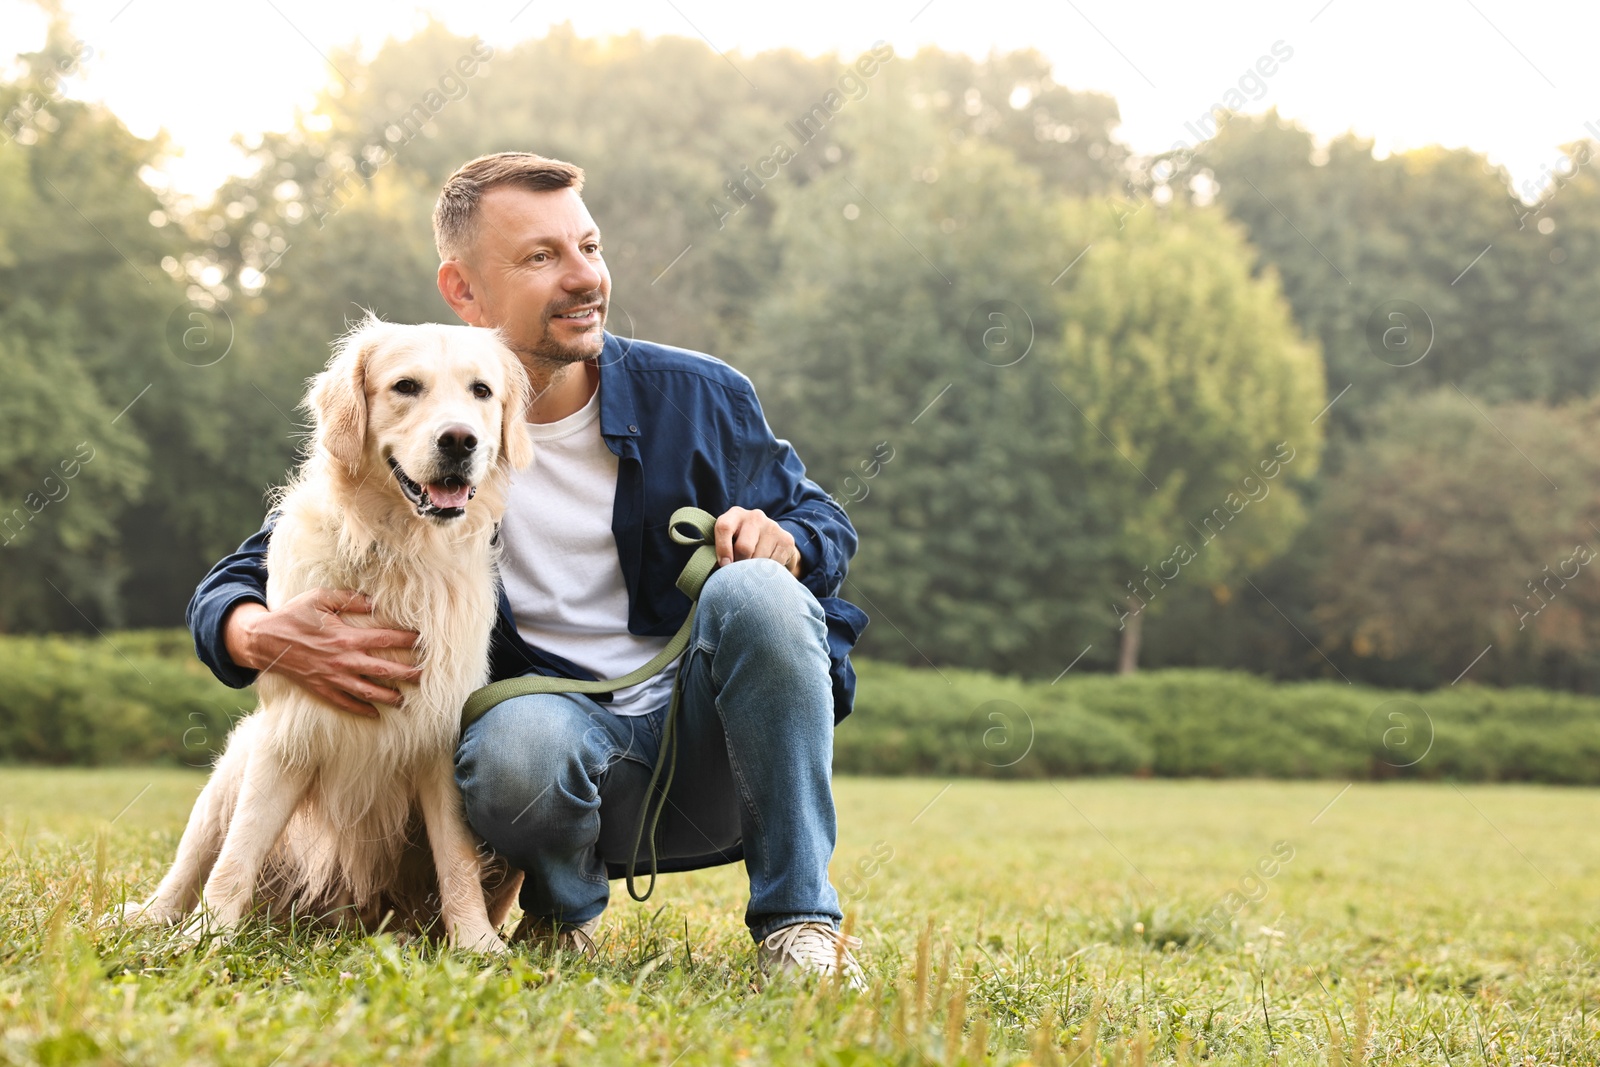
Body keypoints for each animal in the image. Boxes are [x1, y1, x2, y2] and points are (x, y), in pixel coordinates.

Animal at [120, 316, 531, 953]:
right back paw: (152, 922)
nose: (460, 441)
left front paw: (477, 944)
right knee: (190, 867)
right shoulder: (289, 730)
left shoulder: (440, 735)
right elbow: (234, 858)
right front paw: (207, 939)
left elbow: (458, 860)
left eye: (481, 392)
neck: (398, 552)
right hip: (232, 766)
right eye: (406, 386)